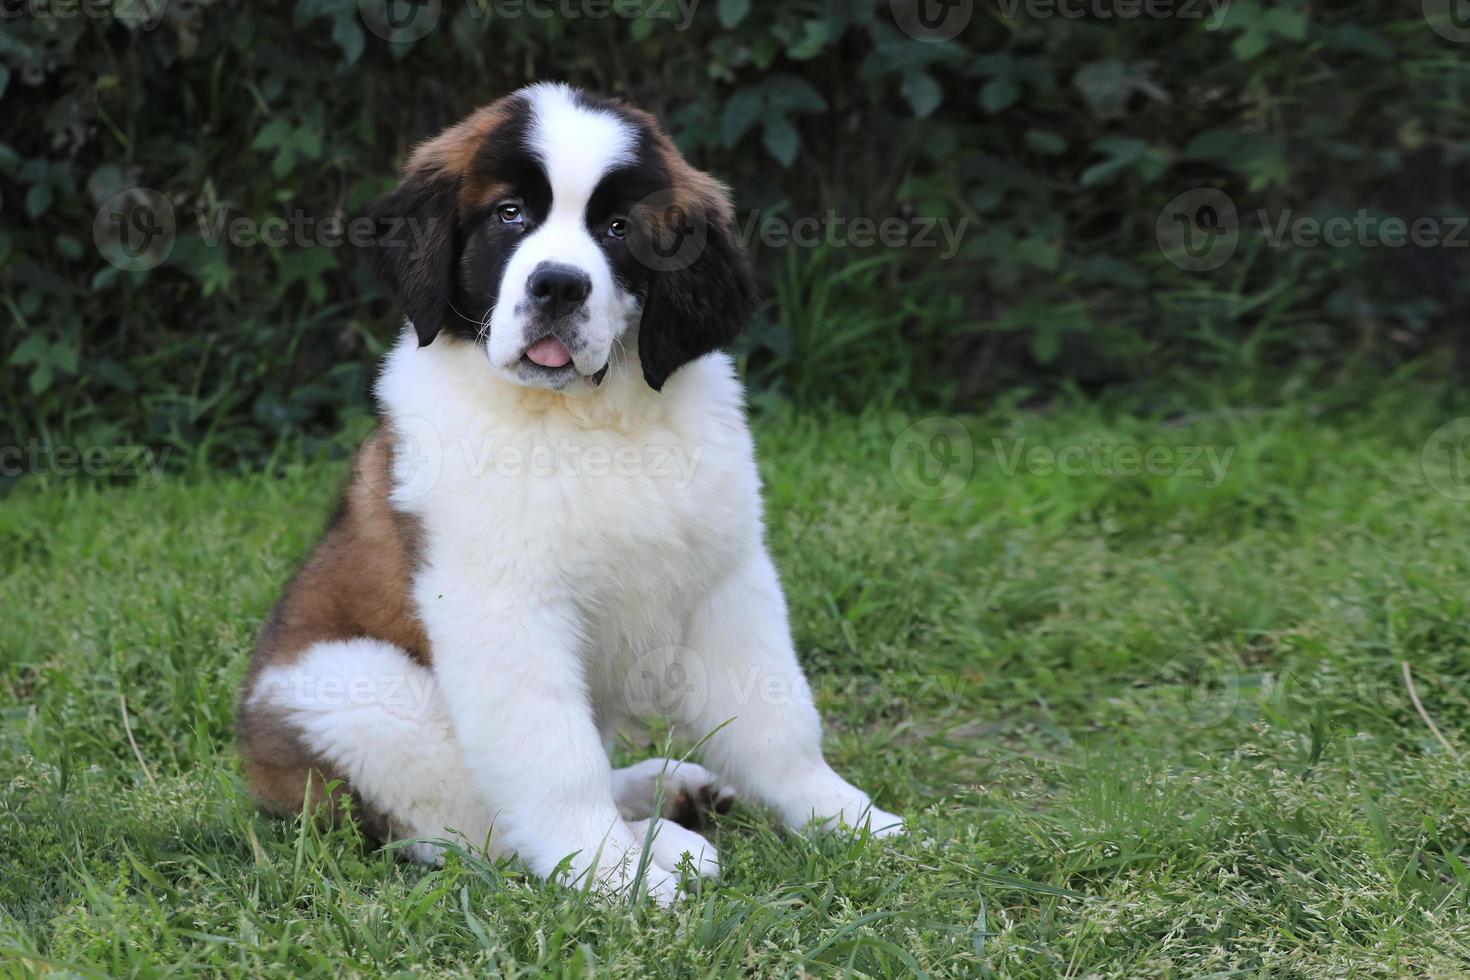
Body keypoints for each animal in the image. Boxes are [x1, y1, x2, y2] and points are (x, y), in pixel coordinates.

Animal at [235, 82, 899, 905]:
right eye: (509, 213)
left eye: (617, 229)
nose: (558, 285)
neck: (587, 417)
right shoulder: (502, 608)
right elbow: (554, 759)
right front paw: (615, 875)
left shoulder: (726, 580)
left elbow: (777, 720)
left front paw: (847, 818)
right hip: (349, 688)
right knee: (467, 832)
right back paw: (661, 843)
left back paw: (668, 793)